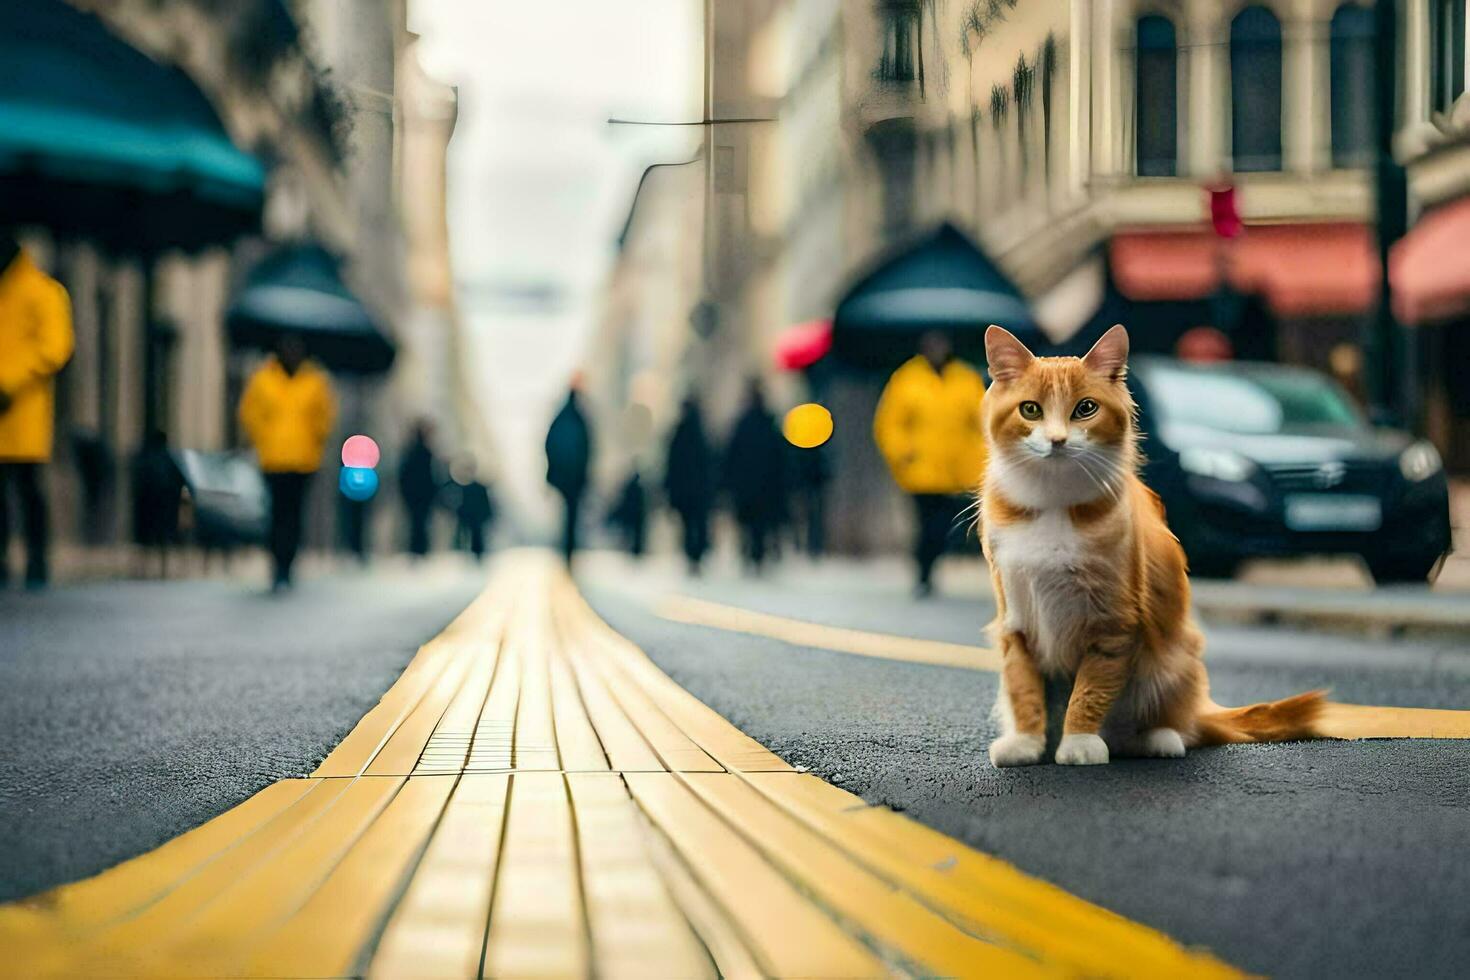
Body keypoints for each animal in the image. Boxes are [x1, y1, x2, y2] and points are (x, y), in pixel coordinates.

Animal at [976, 326, 1323, 769]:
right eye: (1031, 410)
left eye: (1085, 409)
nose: (1056, 440)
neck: (1053, 499)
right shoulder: (1015, 619)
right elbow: (1023, 687)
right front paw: (1026, 741)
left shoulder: (1113, 624)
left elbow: (1090, 690)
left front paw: (1079, 741)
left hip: (1172, 661)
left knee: (1173, 726)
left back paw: (1157, 739)